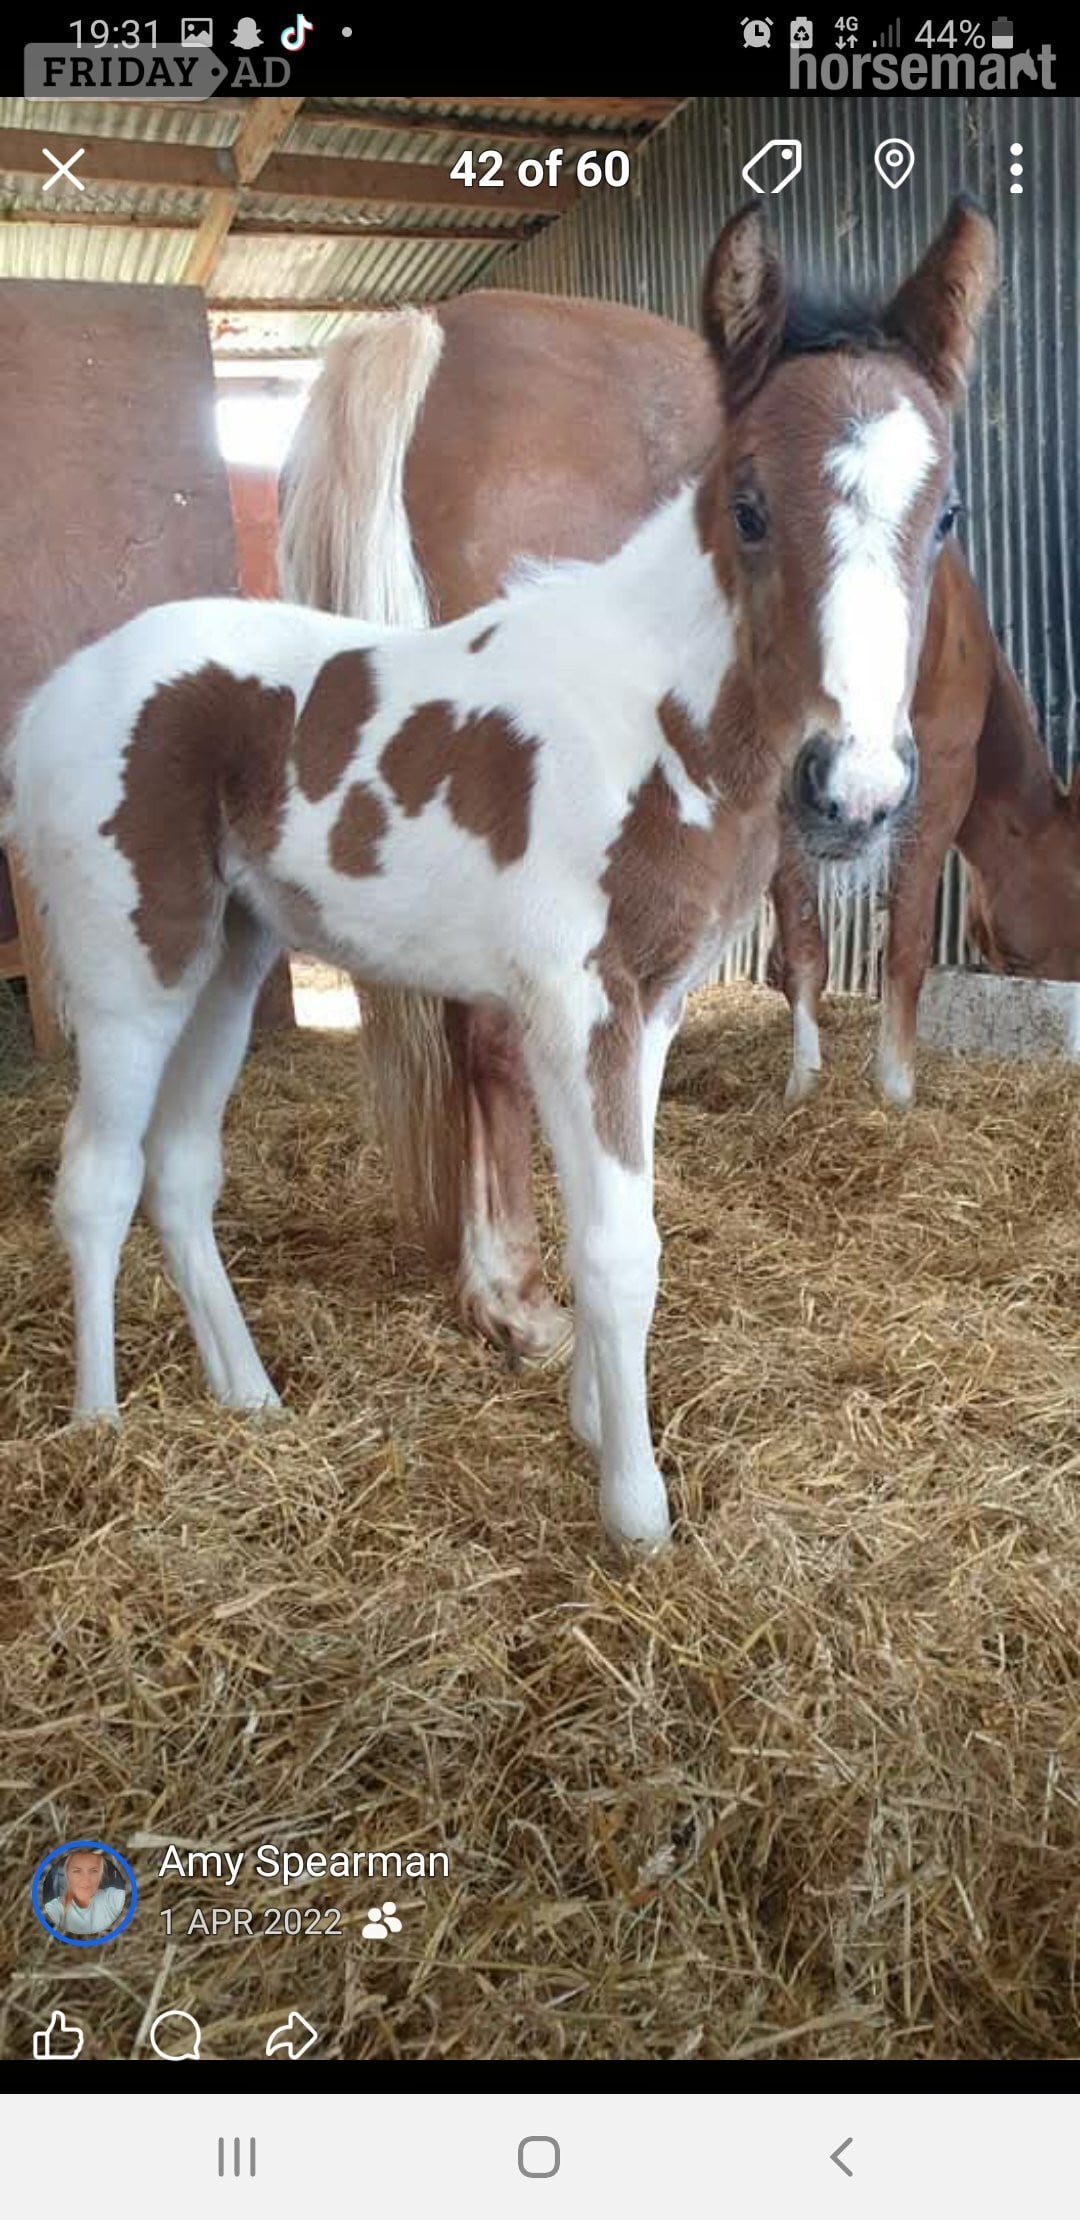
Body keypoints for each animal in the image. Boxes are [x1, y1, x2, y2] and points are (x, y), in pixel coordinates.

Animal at [4, 200, 993, 1548]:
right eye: (745, 504)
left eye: (940, 516)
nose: (854, 792)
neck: (648, 712)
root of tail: (55, 699)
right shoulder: (578, 1002)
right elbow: (621, 1248)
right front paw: (635, 1510)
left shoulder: (651, 1007)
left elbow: (600, 1215)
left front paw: (587, 1422)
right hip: (131, 975)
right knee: (95, 1180)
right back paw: (100, 1429)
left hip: (230, 965)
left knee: (180, 1172)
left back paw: (249, 1395)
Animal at [280, 218, 1076, 1366]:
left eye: (943, 511)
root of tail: (425, 335)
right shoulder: (931, 780)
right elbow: (903, 946)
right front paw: (892, 1089)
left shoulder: (786, 800)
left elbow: (799, 947)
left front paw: (802, 1079)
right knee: (493, 1035)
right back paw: (516, 1294)